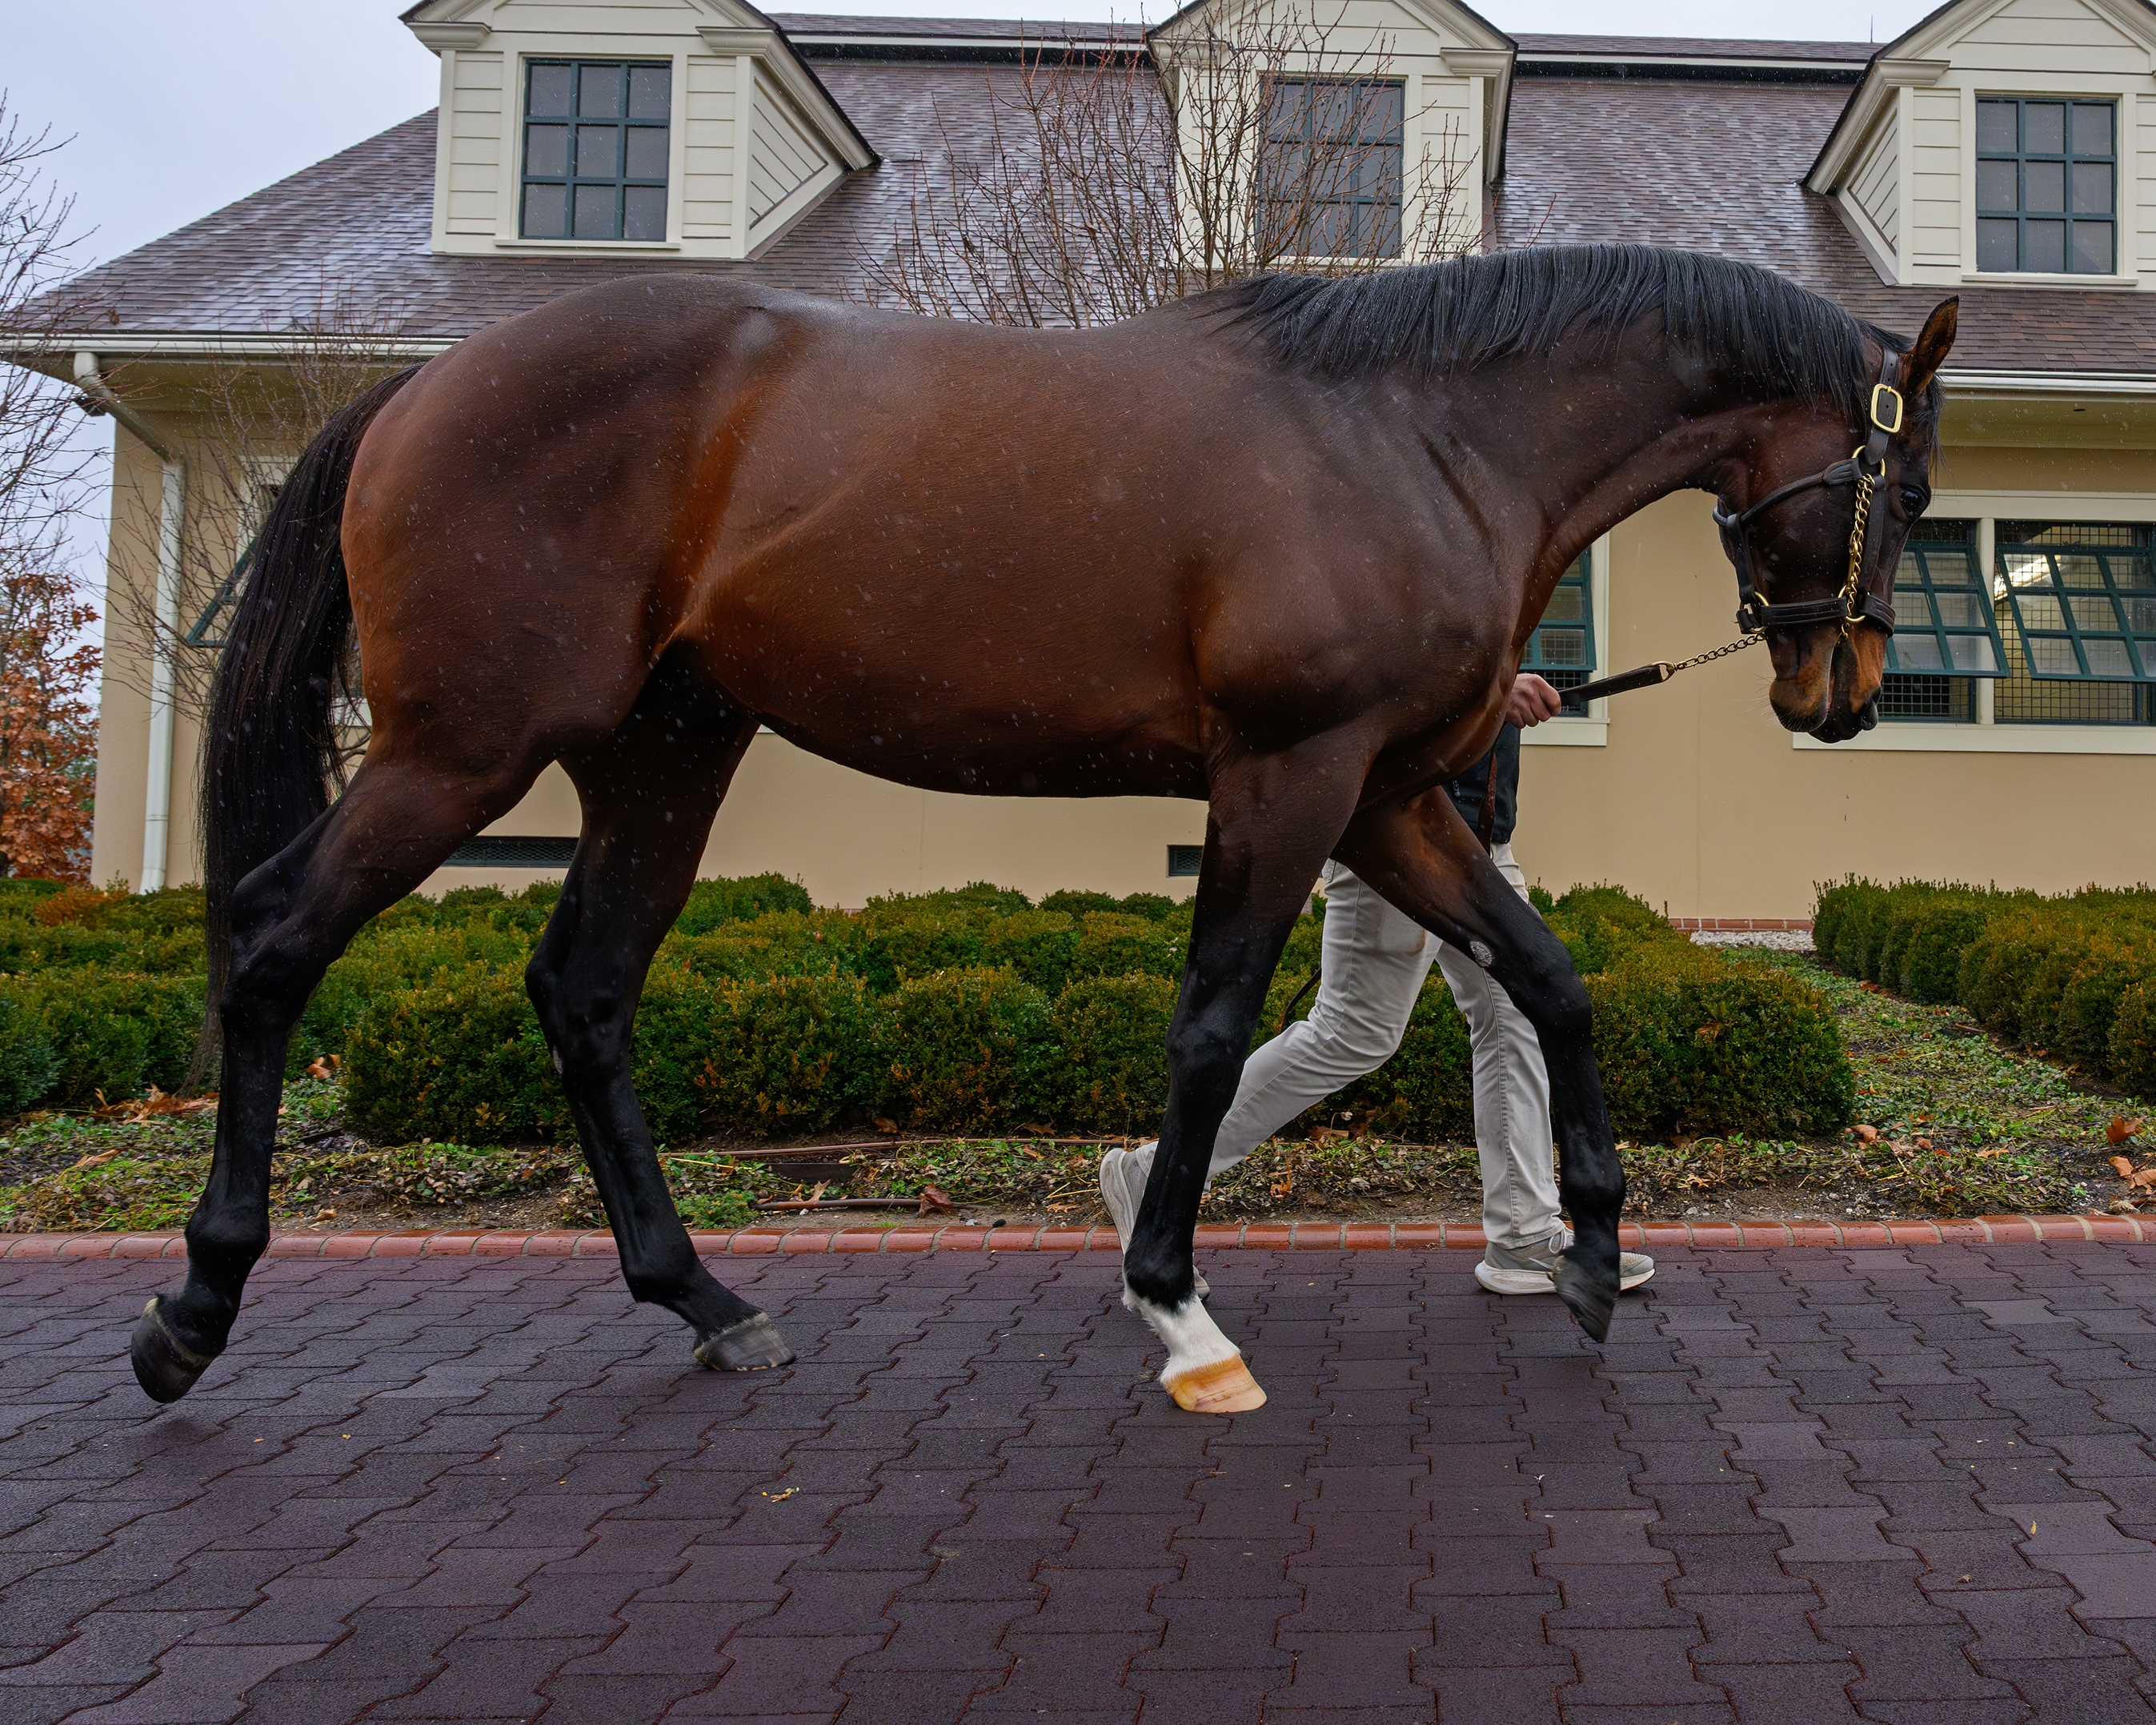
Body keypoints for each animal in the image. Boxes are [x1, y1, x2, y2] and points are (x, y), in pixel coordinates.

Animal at [130, 243, 1956, 1413]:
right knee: (278, 940)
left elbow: (1552, 980)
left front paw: (1587, 1253)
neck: (1415, 430)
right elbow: (1211, 1029)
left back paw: (705, 1301)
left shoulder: (1382, 795)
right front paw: (1175, 1305)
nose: (1845, 689)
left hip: (662, 758)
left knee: (582, 991)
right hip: (464, 751)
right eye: (1916, 489)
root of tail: (421, 387)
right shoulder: (1290, 774)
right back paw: (196, 1306)